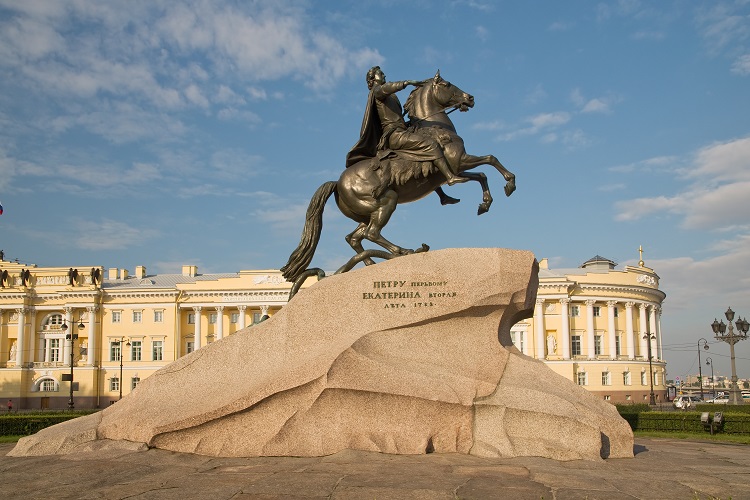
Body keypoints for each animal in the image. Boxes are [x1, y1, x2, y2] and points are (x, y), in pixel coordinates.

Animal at [282, 72, 516, 288]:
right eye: (447, 84)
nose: (470, 98)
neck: (436, 128)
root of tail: (337, 184)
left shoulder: (454, 170)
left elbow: (482, 175)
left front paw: (484, 204)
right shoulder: (459, 163)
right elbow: (490, 160)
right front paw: (510, 184)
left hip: (367, 213)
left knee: (355, 237)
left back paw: (371, 264)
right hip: (386, 201)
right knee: (372, 233)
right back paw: (402, 250)